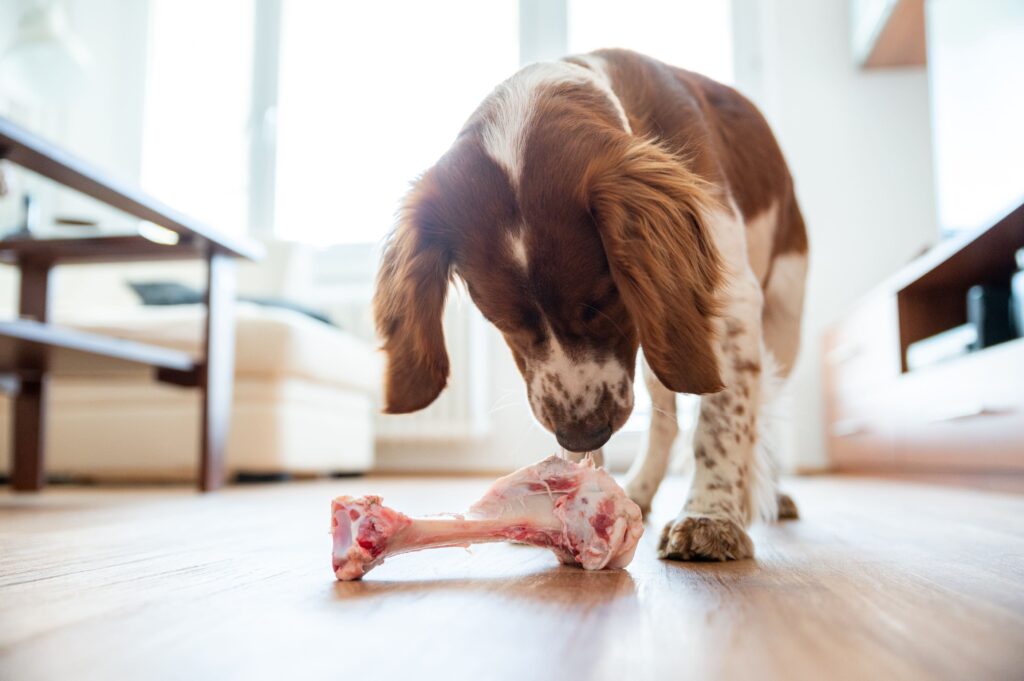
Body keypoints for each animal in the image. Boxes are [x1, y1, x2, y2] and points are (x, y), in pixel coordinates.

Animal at [368, 50, 806, 561]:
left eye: (604, 300)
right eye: (503, 321)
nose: (584, 433)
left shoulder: (729, 305)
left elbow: (721, 423)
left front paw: (711, 516)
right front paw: (569, 498)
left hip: (771, 323)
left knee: (764, 409)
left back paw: (771, 494)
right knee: (665, 420)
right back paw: (640, 488)